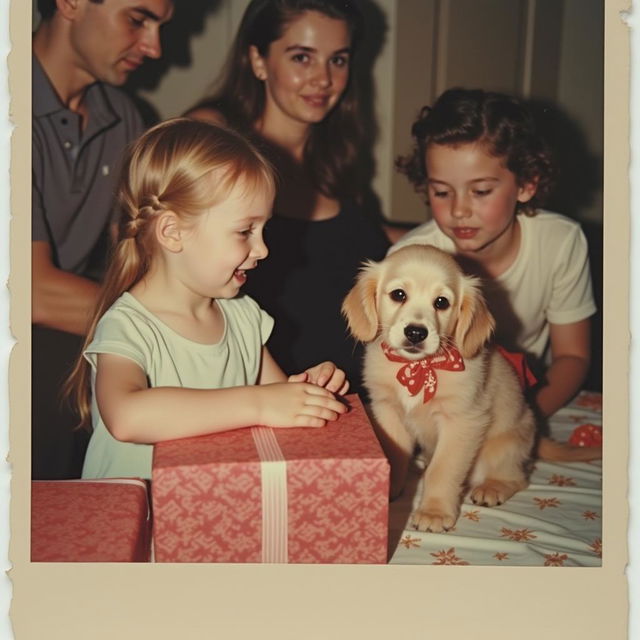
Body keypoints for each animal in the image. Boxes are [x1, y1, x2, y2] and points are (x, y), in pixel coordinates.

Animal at [342, 242, 536, 532]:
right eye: (398, 294)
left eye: (441, 302)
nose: (415, 332)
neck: (419, 368)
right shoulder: (387, 410)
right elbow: (395, 455)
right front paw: (389, 489)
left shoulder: (462, 421)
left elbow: (442, 471)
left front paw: (433, 512)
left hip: (504, 447)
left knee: (517, 477)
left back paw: (493, 487)